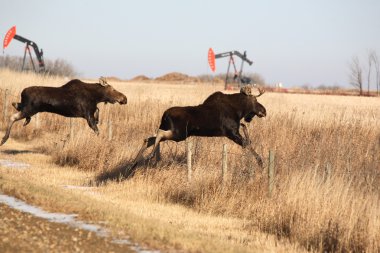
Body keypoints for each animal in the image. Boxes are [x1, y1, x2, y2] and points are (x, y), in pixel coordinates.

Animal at [0, 77, 128, 145]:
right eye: (113, 89)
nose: (124, 98)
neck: (96, 96)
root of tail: (22, 92)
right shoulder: (87, 114)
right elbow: (97, 131)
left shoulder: (90, 112)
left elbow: (98, 114)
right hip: (30, 109)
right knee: (12, 116)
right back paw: (4, 139)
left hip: (28, 108)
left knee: (15, 105)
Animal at [132, 85, 266, 170]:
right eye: (255, 99)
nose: (264, 111)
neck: (238, 110)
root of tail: (164, 115)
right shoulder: (231, 133)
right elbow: (247, 144)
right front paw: (260, 162)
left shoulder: (234, 131)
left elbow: (245, 132)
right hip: (179, 133)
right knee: (157, 134)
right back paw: (150, 156)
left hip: (175, 132)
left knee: (148, 139)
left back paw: (134, 163)